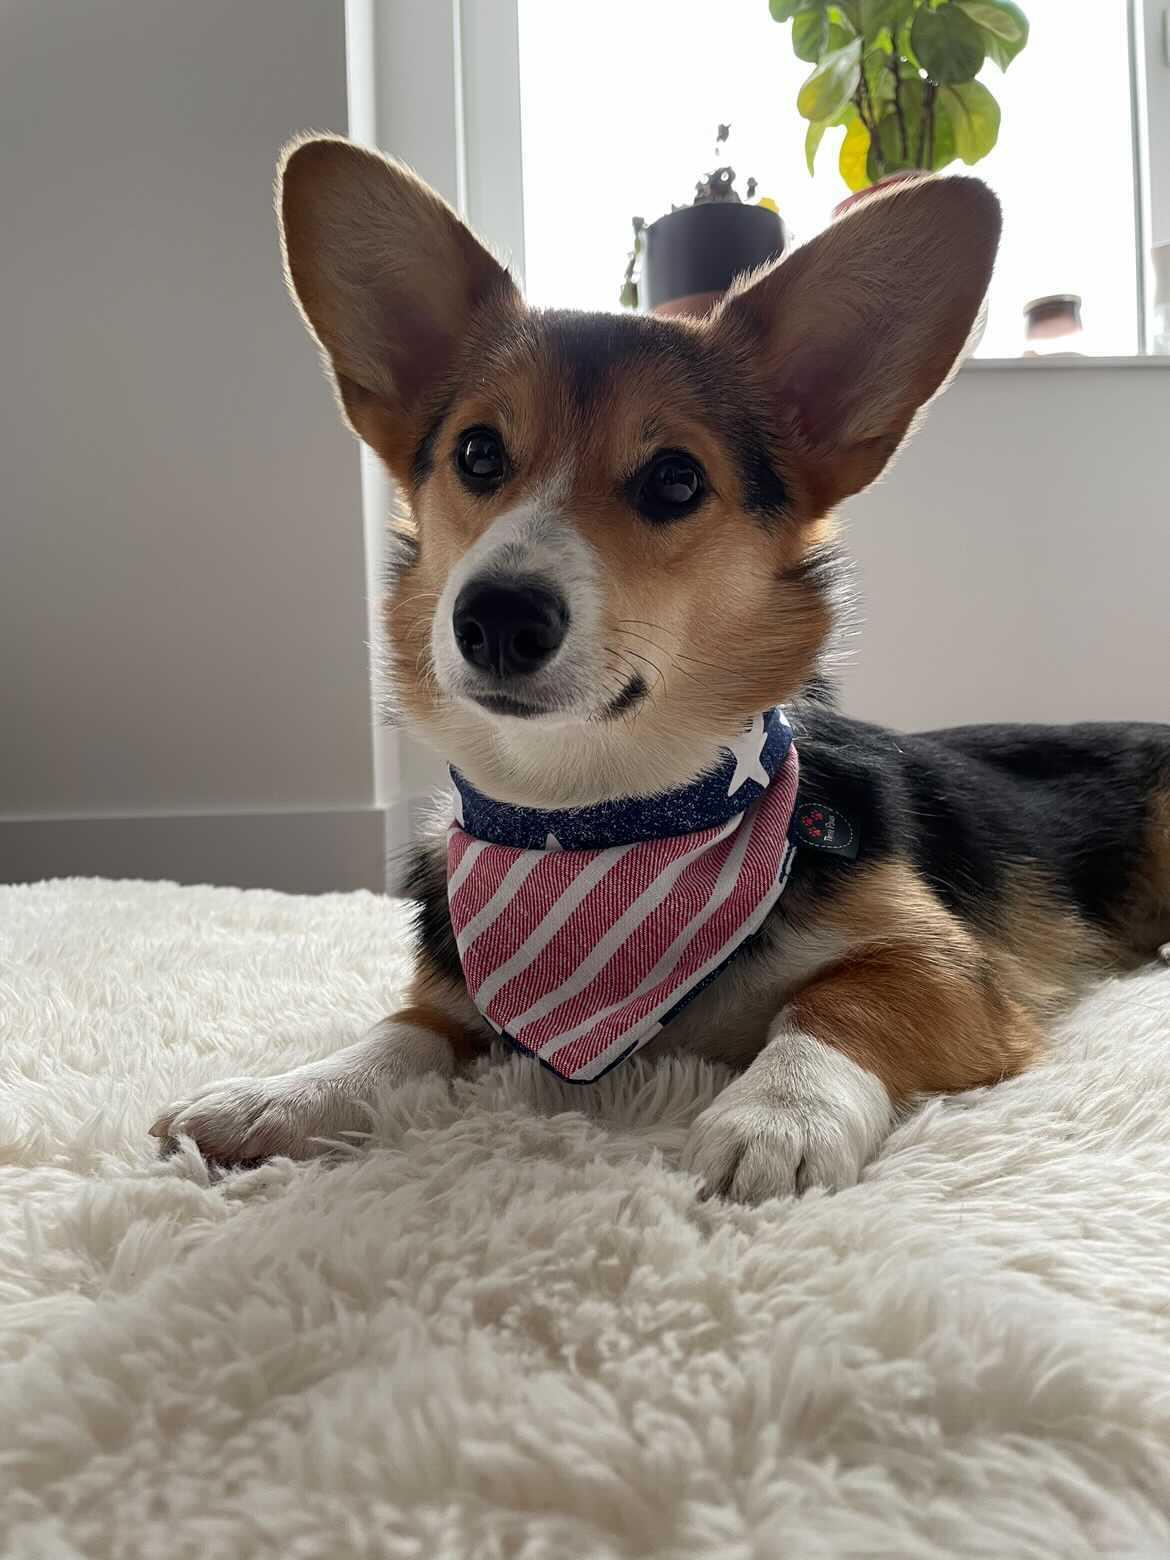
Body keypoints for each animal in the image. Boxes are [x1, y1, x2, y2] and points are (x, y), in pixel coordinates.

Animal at [153, 137, 1170, 1204]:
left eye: (676, 479)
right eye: (478, 452)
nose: (496, 617)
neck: (588, 815)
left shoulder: (943, 966)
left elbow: (834, 1003)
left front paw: (776, 1115)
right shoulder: (450, 1000)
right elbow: (396, 1035)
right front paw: (276, 1096)